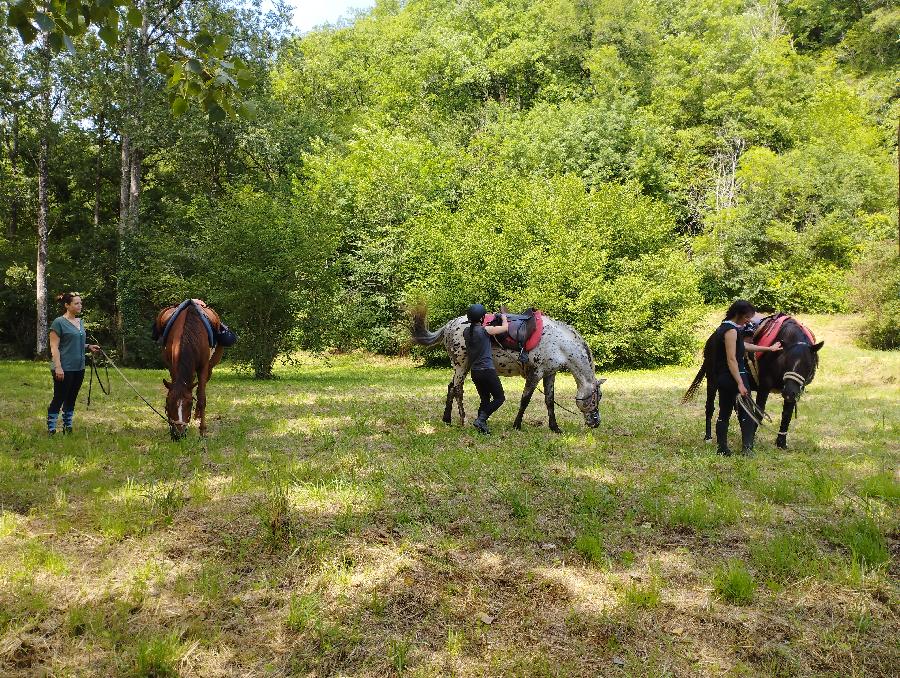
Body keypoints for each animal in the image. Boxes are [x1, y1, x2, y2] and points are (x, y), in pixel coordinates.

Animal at [155, 302, 225, 440]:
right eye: (168, 403)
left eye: (189, 404)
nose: (179, 435)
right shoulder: (172, 366)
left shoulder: (203, 368)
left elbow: (202, 398)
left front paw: (202, 431)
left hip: (210, 368)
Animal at [414, 306, 604, 430]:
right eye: (597, 397)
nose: (596, 423)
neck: (558, 343)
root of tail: (449, 325)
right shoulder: (535, 373)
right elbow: (525, 400)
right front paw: (517, 425)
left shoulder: (550, 373)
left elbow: (549, 401)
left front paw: (554, 427)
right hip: (462, 365)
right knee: (458, 389)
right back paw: (463, 420)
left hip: (463, 367)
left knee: (451, 387)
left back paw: (447, 419)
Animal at [684, 316, 824, 448]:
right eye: (786, 361)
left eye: (808, 364)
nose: (789, 392)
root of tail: (712, 337)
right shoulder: (764, 387)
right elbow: (758, 414)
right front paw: (750, 441)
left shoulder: (794, 389)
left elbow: (786, 414)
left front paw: (781, 443)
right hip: (712, 380)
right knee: (710, 407)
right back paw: (708, 437)